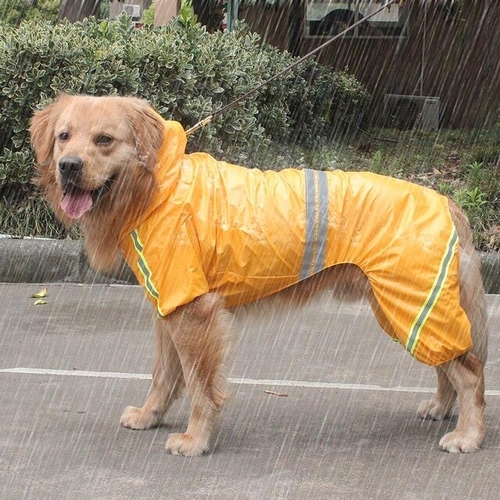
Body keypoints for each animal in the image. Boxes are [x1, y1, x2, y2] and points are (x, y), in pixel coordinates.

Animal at [30, 94, 488, 456]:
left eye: (104, 140)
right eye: (64, 136)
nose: (68, 166)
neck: (157, 185)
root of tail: (448, 201)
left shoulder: (195, 312)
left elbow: (199, 384)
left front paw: (195, 440)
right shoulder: (169, 304)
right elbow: (164, 374)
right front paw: (149, 415)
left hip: (411, 303)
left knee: (469, 373)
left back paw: (468, 434)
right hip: (407, 309)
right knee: (447, 364)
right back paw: (440, 409)